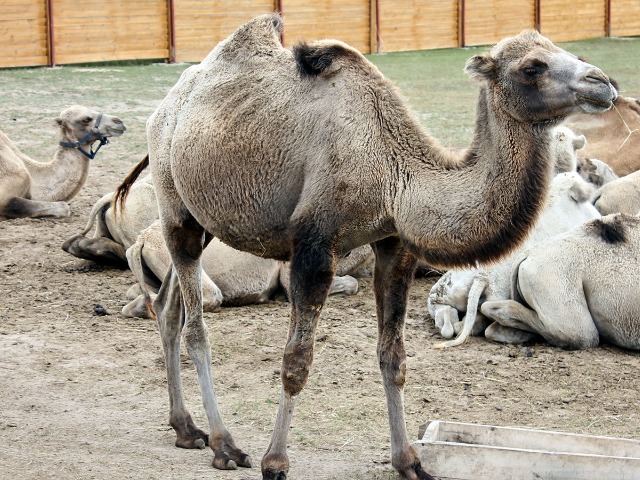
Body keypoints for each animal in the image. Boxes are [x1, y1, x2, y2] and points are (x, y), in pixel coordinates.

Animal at [114, 15, 616, 480]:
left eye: (565, 49)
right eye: (533, 67)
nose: (603, 82)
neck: (395, 175)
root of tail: (165, 108)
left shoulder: (394, 244)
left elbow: (393, 356)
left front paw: (409, 461)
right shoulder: (314, 245)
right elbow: (297, 360)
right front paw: (275, 463)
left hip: (207, 219)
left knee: (167, 308)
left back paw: (185, 429)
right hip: (175, 205)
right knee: (196, 325)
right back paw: (224, 445)